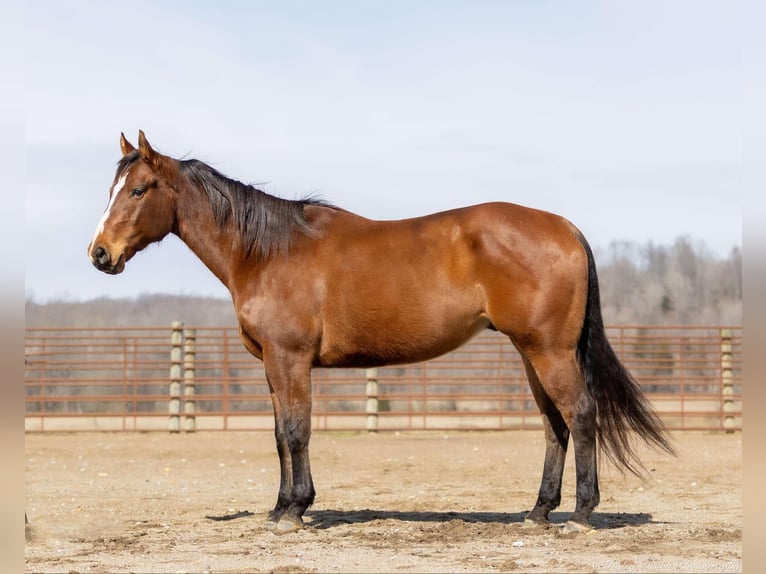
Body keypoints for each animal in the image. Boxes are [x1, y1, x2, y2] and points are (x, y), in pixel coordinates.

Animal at [90, 130, 676, 536]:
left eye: (139, 189)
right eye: (112, 189)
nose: (100, 254)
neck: (268, 252)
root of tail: (566, 228)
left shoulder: (289, 358)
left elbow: (296, 432)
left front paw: (296, 510)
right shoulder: (272, 366)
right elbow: (280, 436)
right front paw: (280, 508)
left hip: (549, 351)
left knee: (580, 414)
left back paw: (580, 513)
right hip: (532, 354)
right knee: (554, 425)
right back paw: (537, 512)